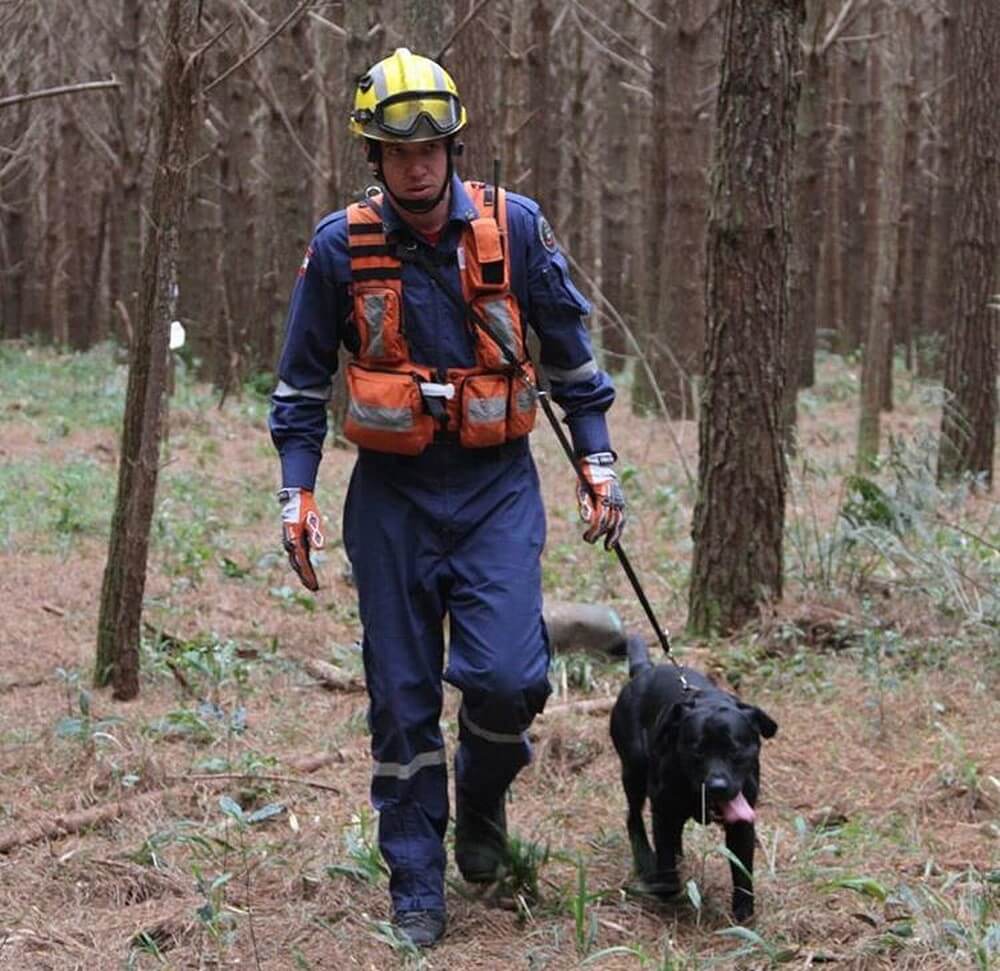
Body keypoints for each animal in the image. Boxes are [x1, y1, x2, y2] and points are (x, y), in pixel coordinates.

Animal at [608, 636, 780, 920]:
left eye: (735, 750)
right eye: (697, 750)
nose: (717, 786)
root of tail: (644, 671)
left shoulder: (742, 821)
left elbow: (742, 869)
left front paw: (744, 910)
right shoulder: (663, 810)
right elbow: (665, 853)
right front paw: (667, 886)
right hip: (633, 769)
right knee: (633, 817)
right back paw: (646, 862)